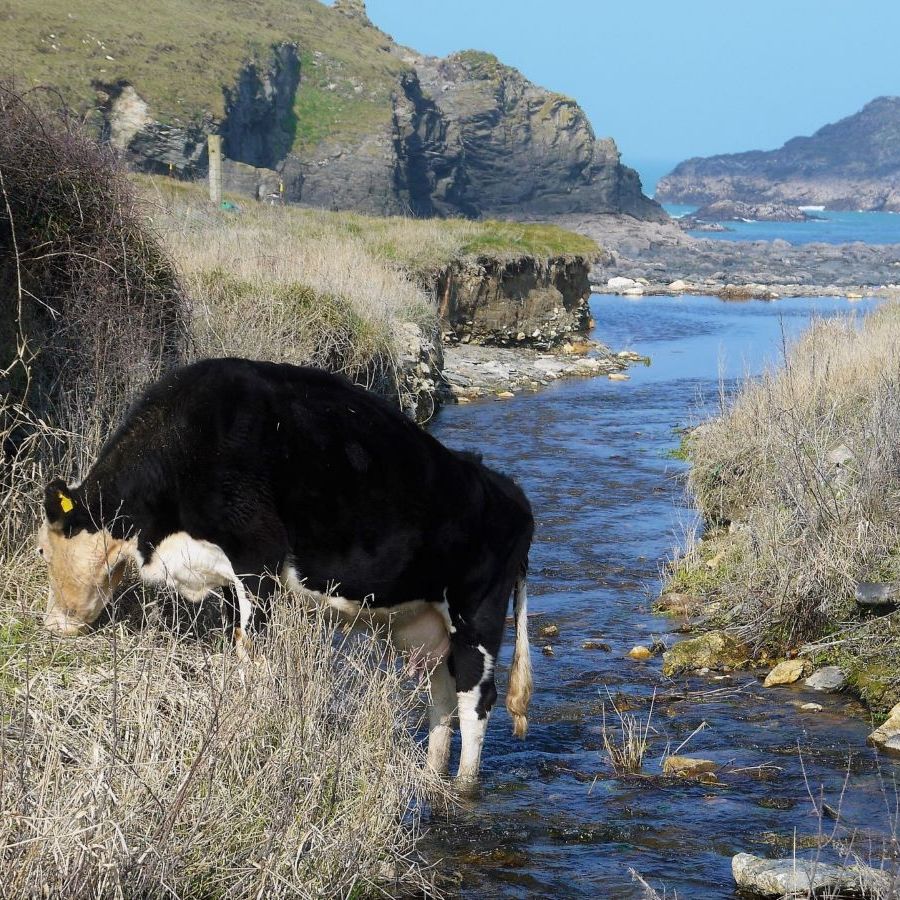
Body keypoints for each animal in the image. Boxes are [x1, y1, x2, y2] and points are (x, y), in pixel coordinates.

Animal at [36, 357, 534, 781]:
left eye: (42, 549)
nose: (52, 623)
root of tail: (507, 489)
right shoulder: (224, 577)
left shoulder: (257, 566)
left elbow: (251, 656)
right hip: (430, 623)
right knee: (442, 695)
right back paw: (432, 778)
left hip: (477, 613)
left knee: (476, 698)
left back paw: (463, 785)